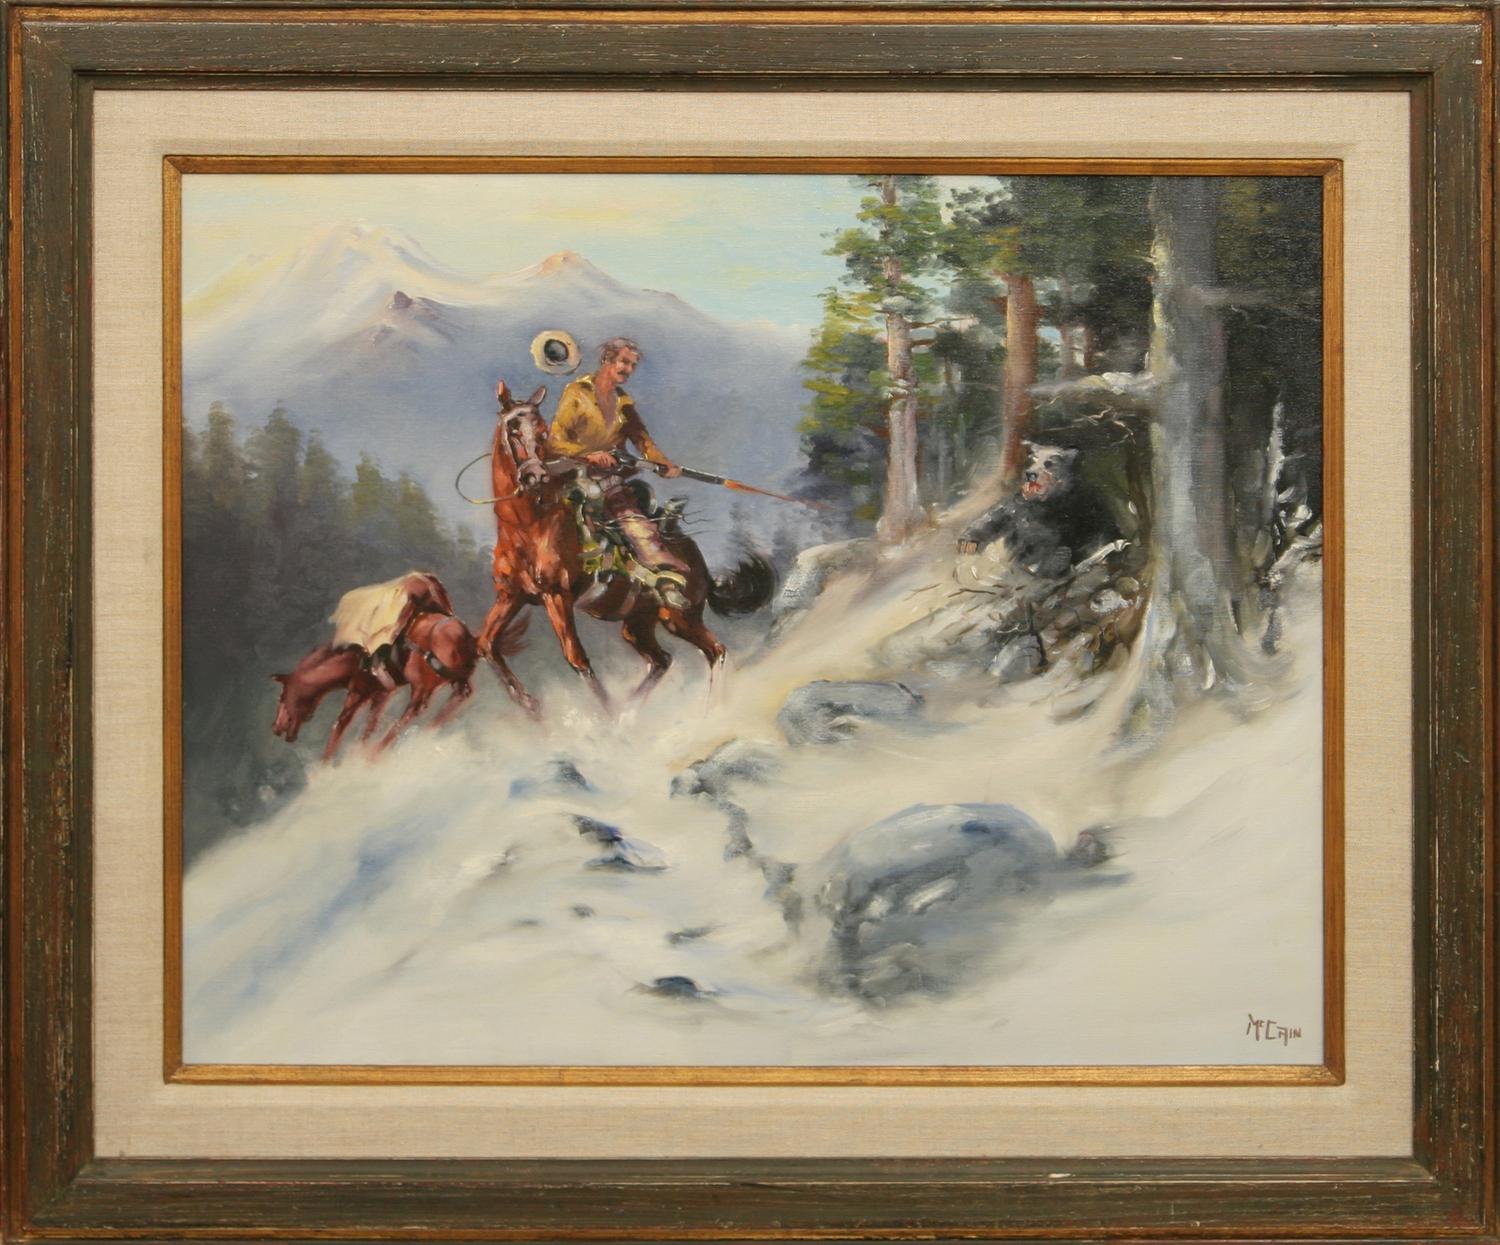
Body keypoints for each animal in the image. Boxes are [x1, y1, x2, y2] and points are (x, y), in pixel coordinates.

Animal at [271, 610, 486, 761]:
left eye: (282, 697)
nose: (275, 728)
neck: (353, 659)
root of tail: (466, 637)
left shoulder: (357, 694)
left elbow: (340, 725)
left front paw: (325, 766)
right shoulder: (380, 694)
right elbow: (369, 727)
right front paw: (359, 752)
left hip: (421, 686)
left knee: (411, 713)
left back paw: (378, 753)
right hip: (454, 682)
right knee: (458, 697)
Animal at [476, 380, 774, 715]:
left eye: (541, 433)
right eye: (513, 428)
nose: (535, 476)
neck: (528, 527)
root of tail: (701, 565)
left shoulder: (556, 596)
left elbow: (577, 659)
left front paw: (604, 718)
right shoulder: (510, 595)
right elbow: (485, 645)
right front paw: (529, 704)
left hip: (680, 618)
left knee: (716, 651)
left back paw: (708, 710)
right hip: (638, 623)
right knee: (662, 660)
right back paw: (630, 714)